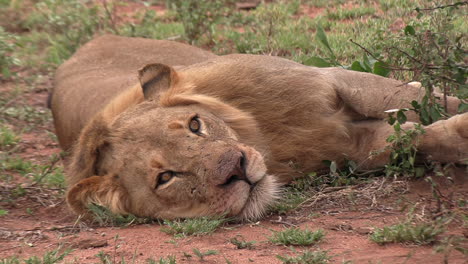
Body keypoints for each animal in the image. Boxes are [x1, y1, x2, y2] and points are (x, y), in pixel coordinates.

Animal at [49, 35, 466, 221]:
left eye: (195, 125)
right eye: (166, 178)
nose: (235, 168)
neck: (267, 139)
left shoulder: (332, 80)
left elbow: (410, 96)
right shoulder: (351, 149)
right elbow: (413, 139)